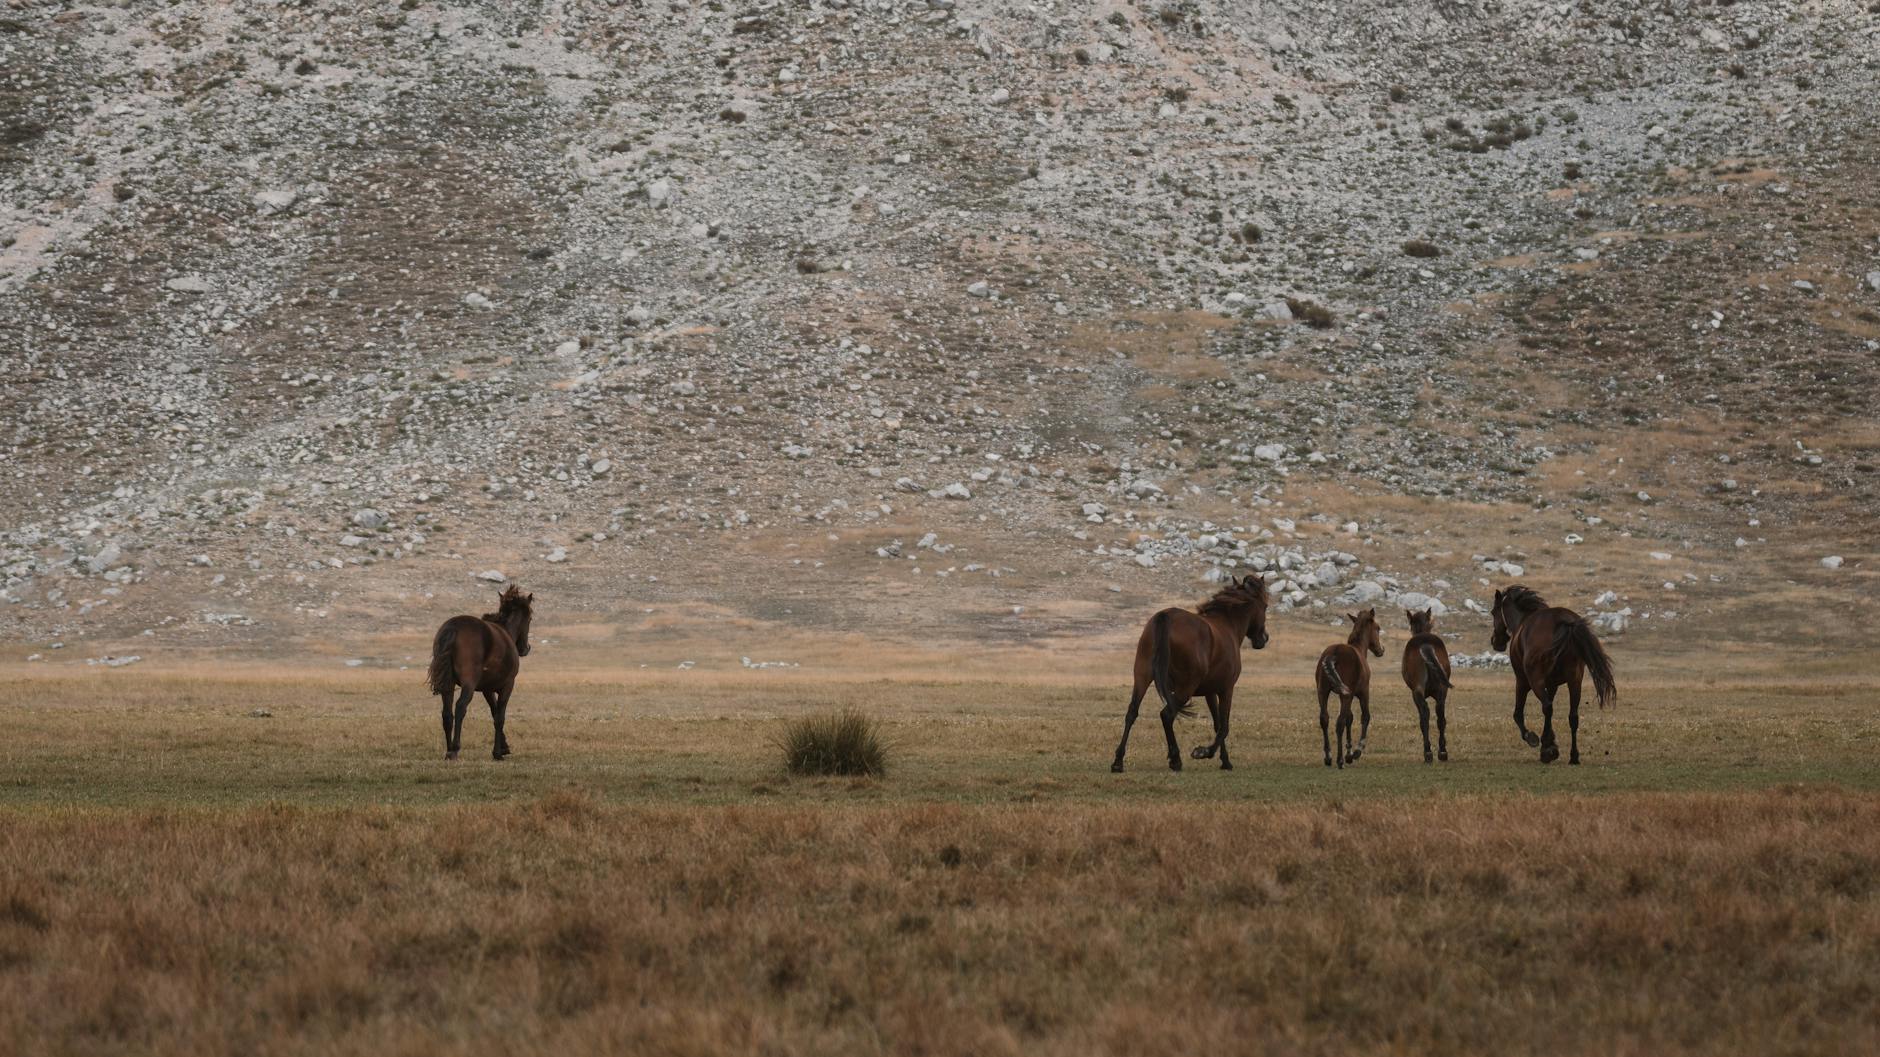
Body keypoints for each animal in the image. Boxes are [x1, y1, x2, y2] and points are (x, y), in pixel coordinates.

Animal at [428, 583, 537, 756]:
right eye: (530, 618)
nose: (524, 649)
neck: (506, 632)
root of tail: (453, 628)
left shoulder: (487, 689)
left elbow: (494, 712)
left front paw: (504, 747)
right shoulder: (507, 686)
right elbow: (500, 717)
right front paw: (497, 752)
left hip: (448, 684)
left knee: (447, 713)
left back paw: (448, 749)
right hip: (469, 684)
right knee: (460, 707)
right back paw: (455, 749)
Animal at [1105, 571, 1270, 771]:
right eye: (1266, 606)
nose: (1264, 639)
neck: (1227, 625)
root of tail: (1166, 616)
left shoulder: (1210, 692)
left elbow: (1217, 724)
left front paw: (1225, 760)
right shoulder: (1226, 690)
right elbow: (1224, 727)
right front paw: (1204, 752)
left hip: (1142, 677)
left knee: (1132, 713)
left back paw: (1118, 762)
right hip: (1185, 688)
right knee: (1166, 715)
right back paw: (1176, 759)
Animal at [1316, 609, 1391, 763]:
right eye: (1378, 628)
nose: (1380, 650)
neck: (1359, 649)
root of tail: (1334, 653)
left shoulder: (1343, 695)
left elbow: (1349, 718)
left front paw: (1349, 752)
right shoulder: (1363, 693)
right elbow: (1365, 716)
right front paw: (1356, 751)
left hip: (1323, 692)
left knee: (1325, 719)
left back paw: (1328, 756)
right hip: (1346, 695)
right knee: (1339, 723)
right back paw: (1339, 760)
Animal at [1398, 605, 1451, 759]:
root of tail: (1426, 644)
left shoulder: (1414, 694)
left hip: (1417, 692)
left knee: (1425, 715)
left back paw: (1427, 751)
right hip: (1442, 690)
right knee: (1440, 716)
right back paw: (1442, 751)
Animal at [1488, 579, 1624, 759]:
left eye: (1493, 612)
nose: (1495, 641)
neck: (1523, 620)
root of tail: (1564, 622)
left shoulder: (1522, 681)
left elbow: (1518, 713)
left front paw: (1535, 739)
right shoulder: (1552, 685)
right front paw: (1549, 739)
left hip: (1536, 681)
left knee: (1547, 707)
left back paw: (1547, 750)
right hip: (1574, 682)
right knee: (1573, 716)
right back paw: (1573, 756)